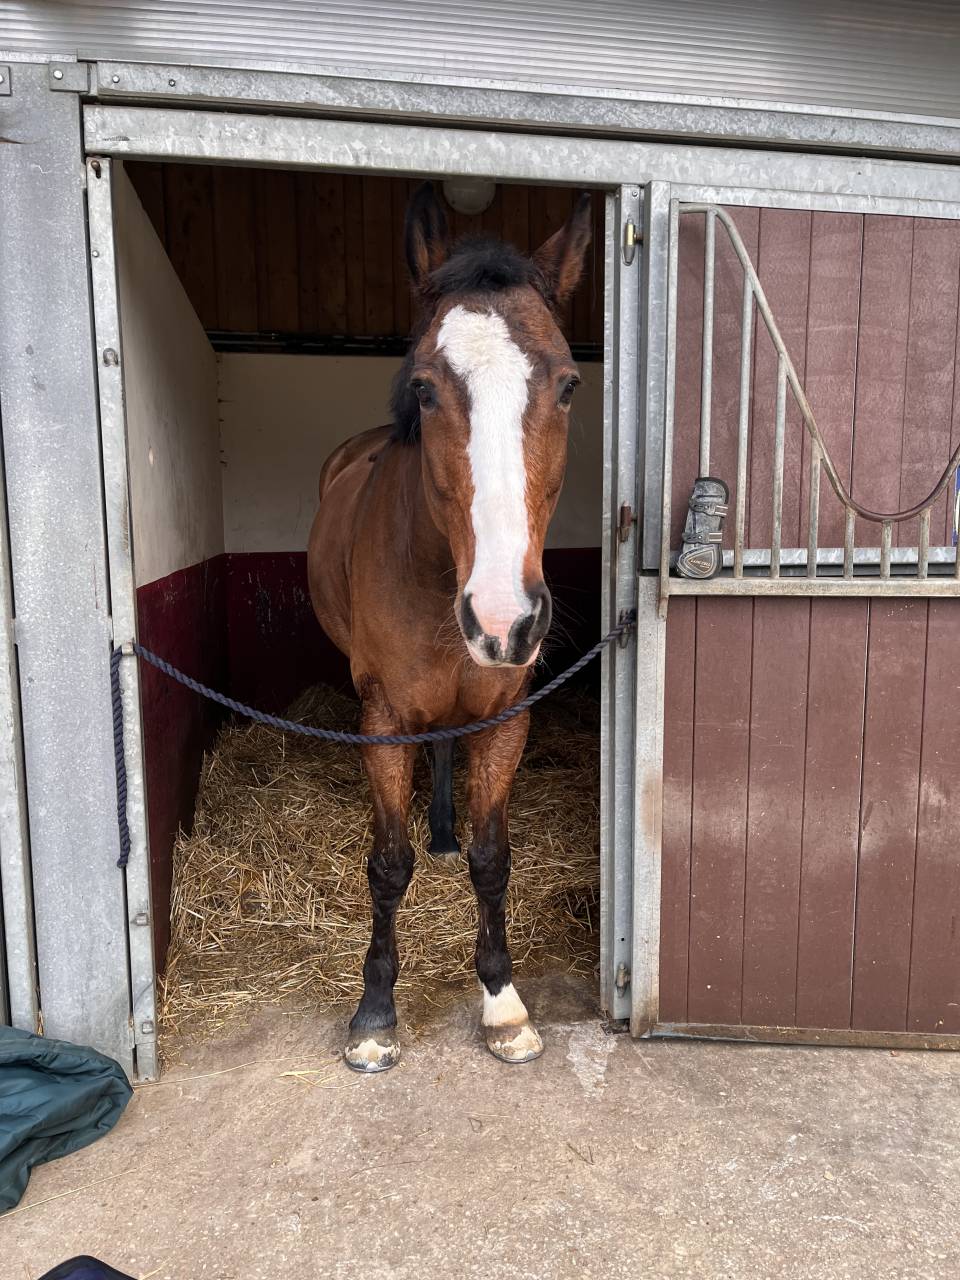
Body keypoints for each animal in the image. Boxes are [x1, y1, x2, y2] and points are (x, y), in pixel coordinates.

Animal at [307, 182, 592, 1072]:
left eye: (568, 385)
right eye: (427, 387)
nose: (504, 617)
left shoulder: (505, 718)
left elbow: (493, 858)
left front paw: (502, 1002)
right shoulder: (384, 718)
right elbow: (386, 864)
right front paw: (374, 1012)